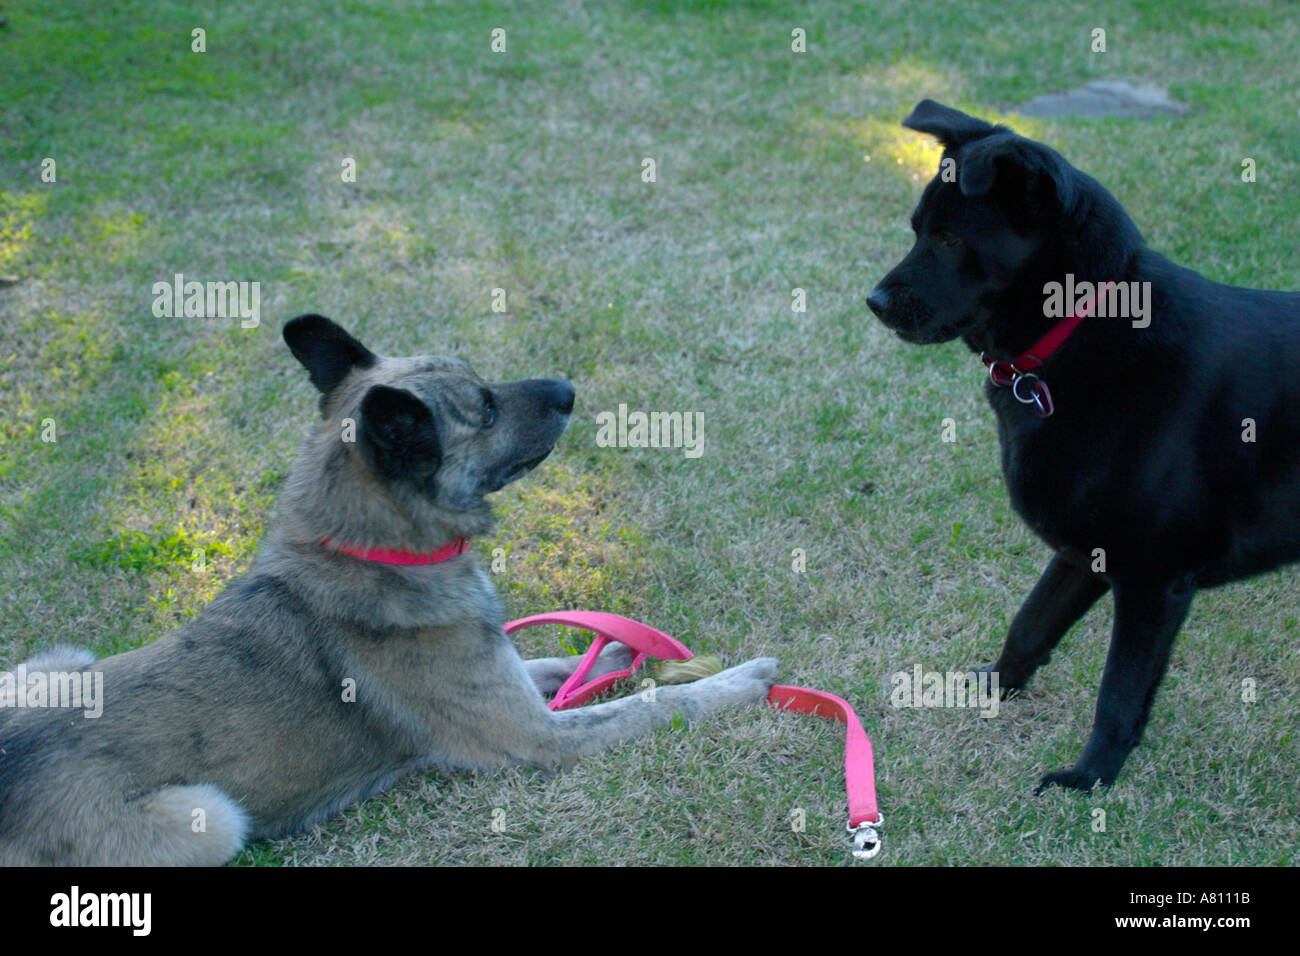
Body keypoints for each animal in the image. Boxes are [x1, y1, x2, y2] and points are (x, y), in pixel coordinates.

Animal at [868, 100, 1300, 796]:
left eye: (951, 240)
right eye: (915, 230)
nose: (874, 302)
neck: (1080, 328)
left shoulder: (1155, 580)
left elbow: (1119, 691)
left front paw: (1088, 778)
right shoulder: (1082, 552)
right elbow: (1030, 624)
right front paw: (989, 688)